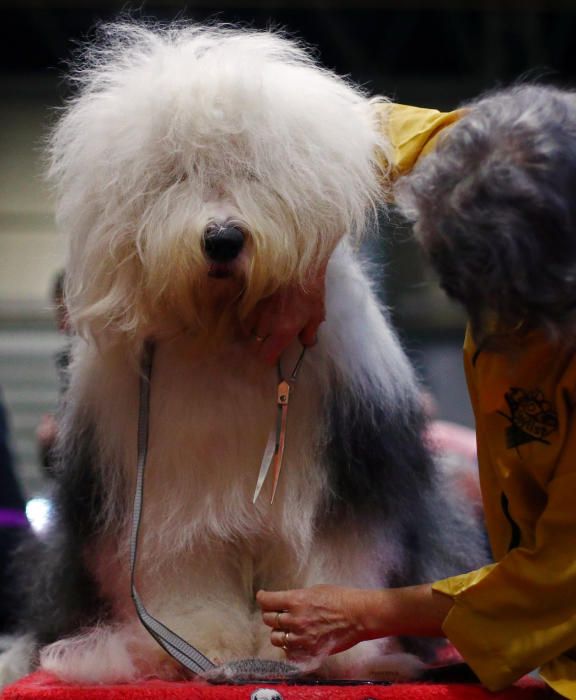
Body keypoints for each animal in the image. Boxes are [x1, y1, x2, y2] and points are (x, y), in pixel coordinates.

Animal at [2, 20, 484, 684]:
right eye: (175, 175)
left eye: (254, 171)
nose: (224, 239)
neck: (224, 332)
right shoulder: (164, 498)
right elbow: (184, 569)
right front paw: (207, 643)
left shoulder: (343, 476)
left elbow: (337, 554)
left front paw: (334, 645)